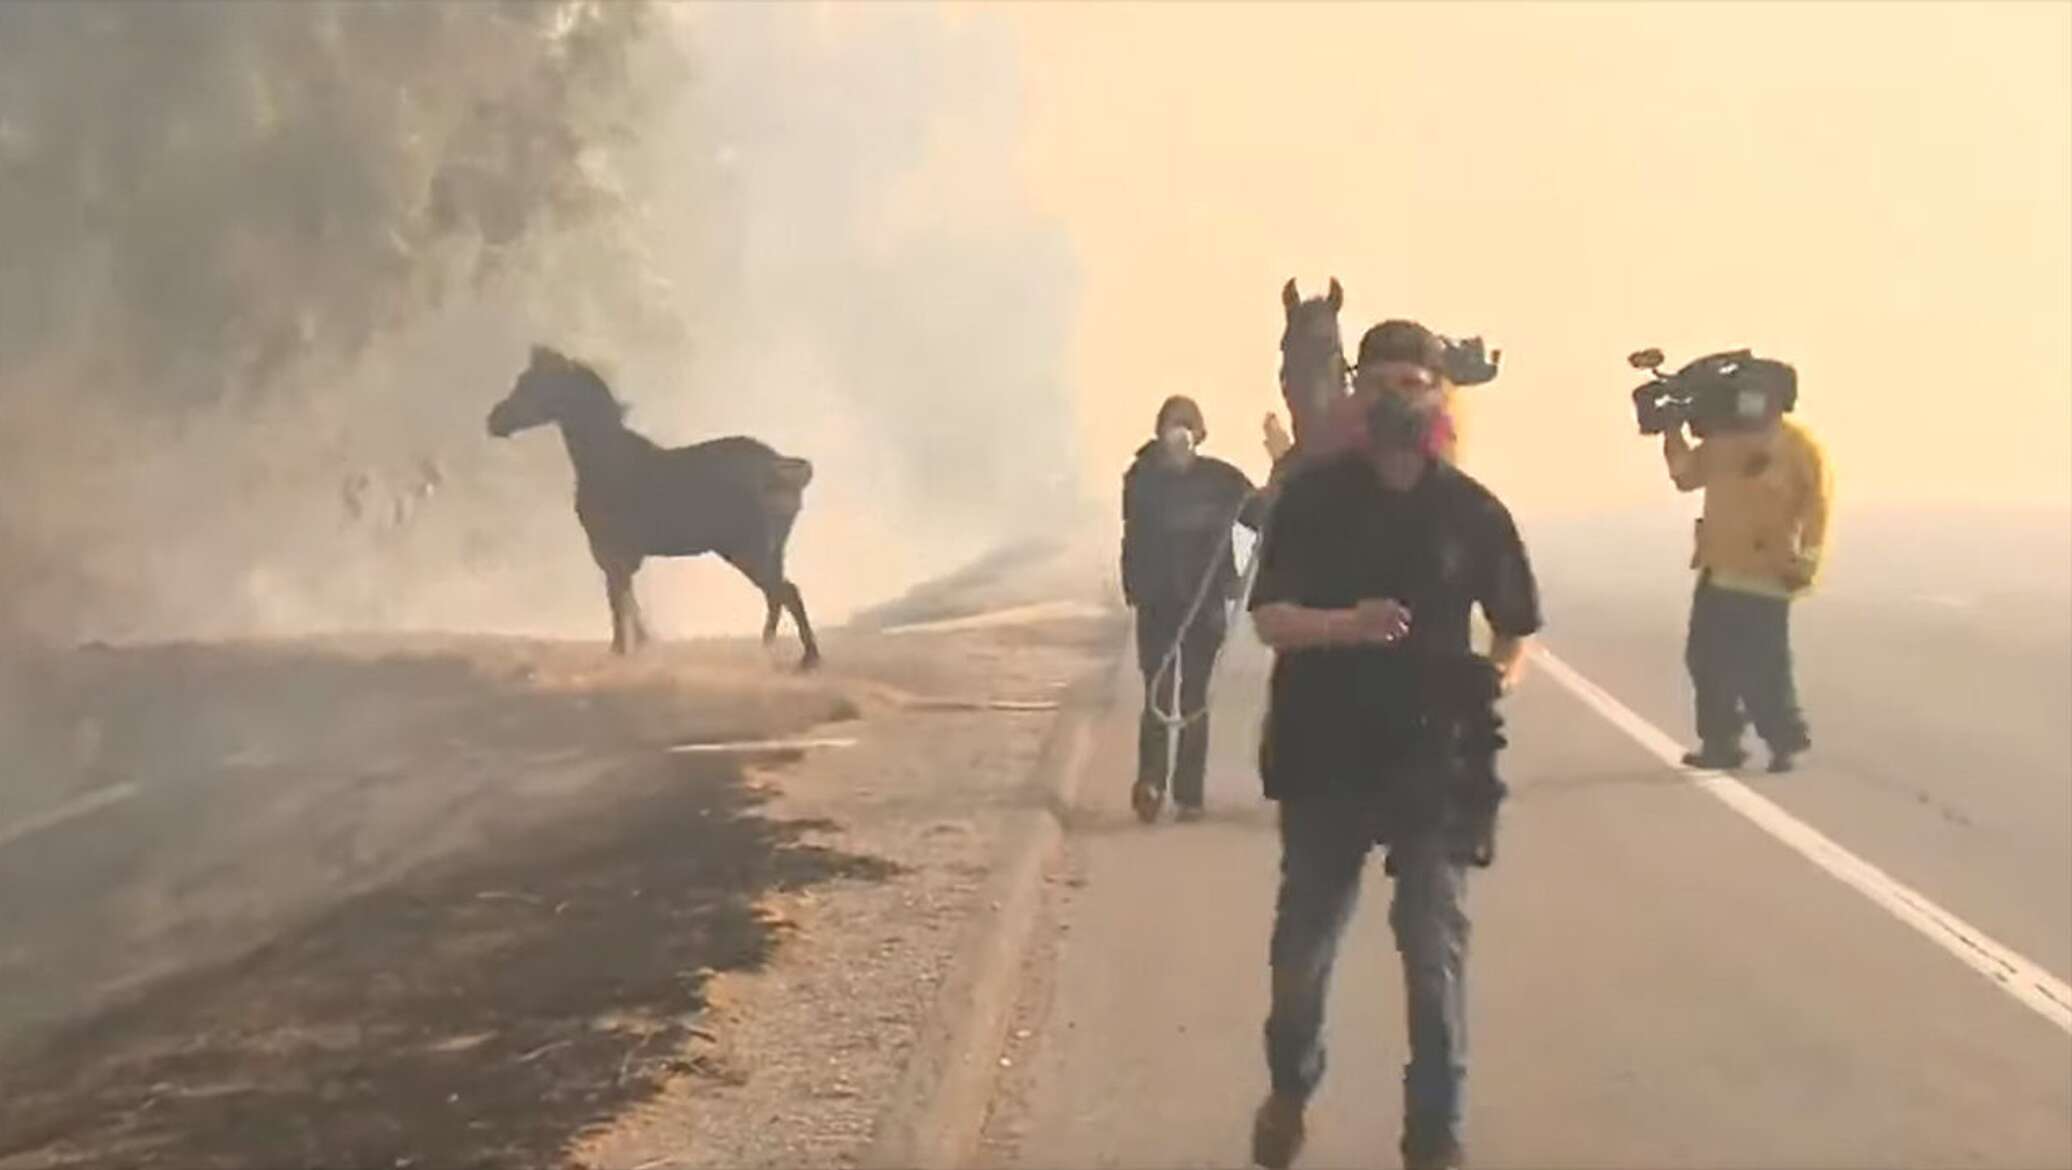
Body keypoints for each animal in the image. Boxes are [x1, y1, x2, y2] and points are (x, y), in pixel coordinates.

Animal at [488, 343, 820, 666]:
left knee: (785, 592)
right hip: (769, 550)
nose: (494, 421)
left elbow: (618, 600)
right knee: (777, 595)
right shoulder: (620, 555)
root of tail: (781, 465)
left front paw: (622, 651)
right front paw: (637, 646)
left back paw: (806, 657)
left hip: (748, 550)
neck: (607, 461)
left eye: (533, 384)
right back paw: (772, 649)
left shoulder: (608, 549)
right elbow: (626, 600)